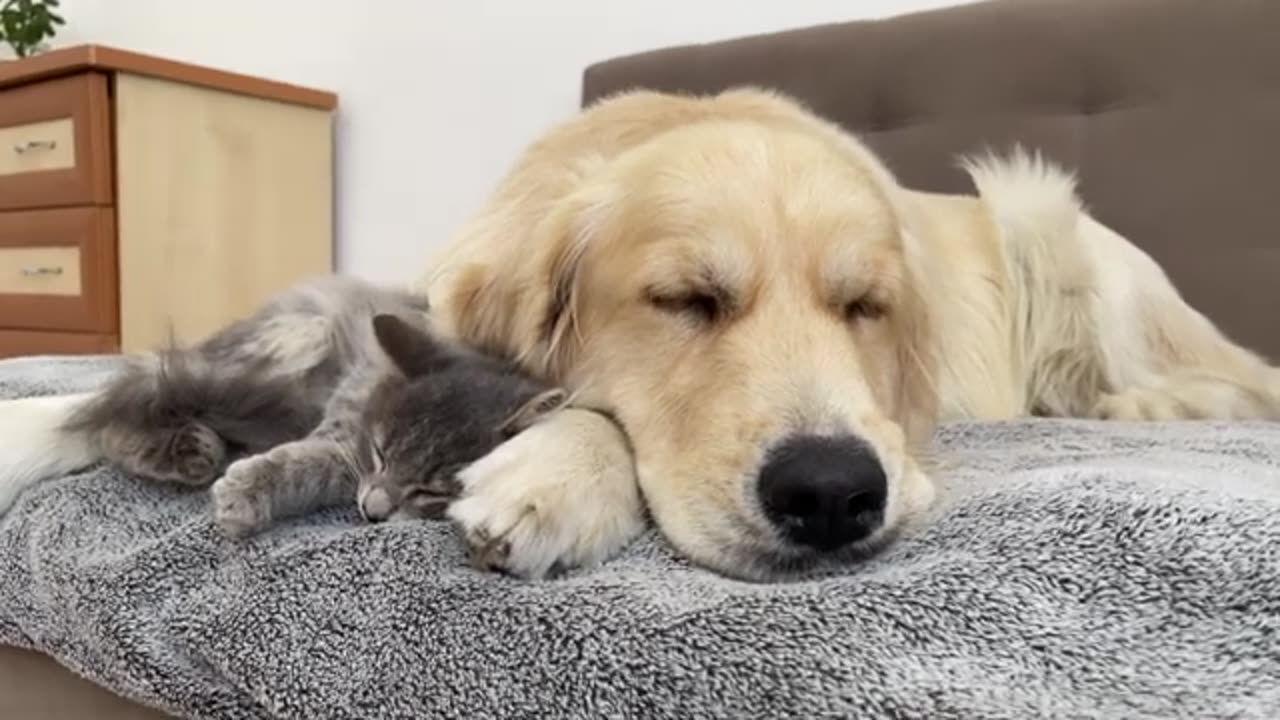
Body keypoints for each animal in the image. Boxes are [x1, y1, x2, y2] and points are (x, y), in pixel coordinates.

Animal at [57, 271, 563, 535]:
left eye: (432, 490)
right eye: (380, 452)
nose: (373, 512)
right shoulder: (348, 430)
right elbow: (303, 458)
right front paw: (246, 489)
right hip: (298, 335)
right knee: (119, 415)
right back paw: (187, 451)